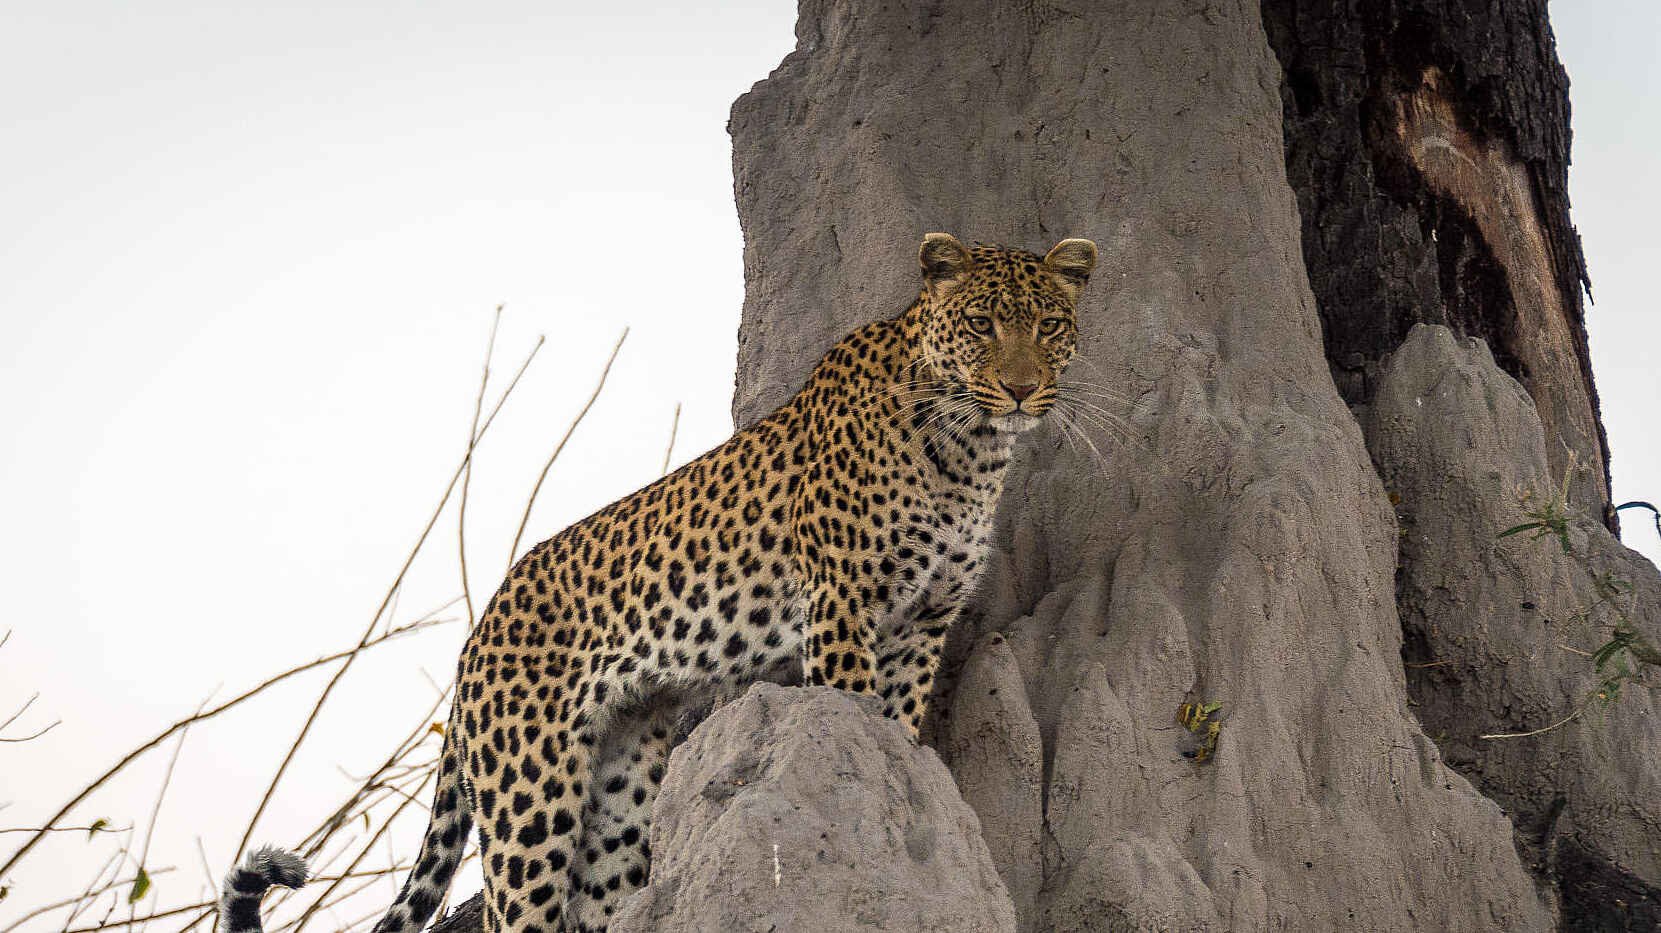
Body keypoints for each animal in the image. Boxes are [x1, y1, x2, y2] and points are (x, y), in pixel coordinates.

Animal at [218, 232, 1097, 933]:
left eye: (1048, 326)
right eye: (982, 324)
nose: (1021, 387)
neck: (970, 448)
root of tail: (475, 636)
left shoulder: (923, 623)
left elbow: (901, 729)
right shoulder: (842, 606)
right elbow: (857, 710)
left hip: (618, 784)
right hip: (529, 797)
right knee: (516, 909)